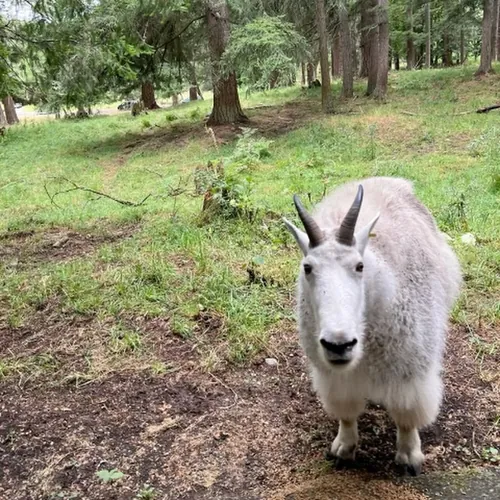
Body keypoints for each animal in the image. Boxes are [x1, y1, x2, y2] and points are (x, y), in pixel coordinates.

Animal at [283, 177, 461, 475]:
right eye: (307, 267)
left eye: (359, 266)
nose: (339, 344)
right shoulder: (335, 375)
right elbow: (346, 411)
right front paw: (344, 448)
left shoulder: (410, 369)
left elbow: (407, 413)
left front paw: (409, 457)